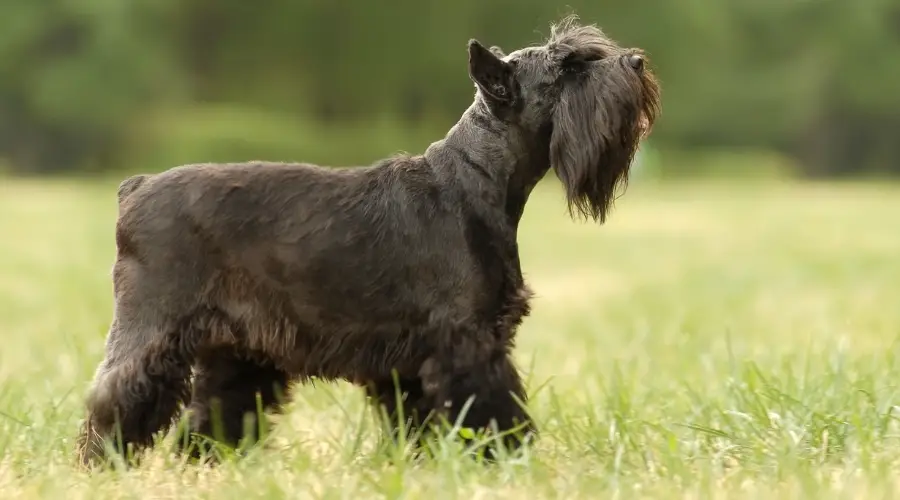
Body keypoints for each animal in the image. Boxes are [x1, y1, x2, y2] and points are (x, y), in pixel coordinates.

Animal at [75, 16, 660, 468]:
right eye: (567, 69)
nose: (636, 62)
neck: (473, 178)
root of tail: (136, 187)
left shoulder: (410, 362)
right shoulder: (468, 340)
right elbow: (493, 409)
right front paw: (505, 461)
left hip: (237, 350)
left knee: (211, 414)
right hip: (154, 328)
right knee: (115, 395)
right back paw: (102, 464)